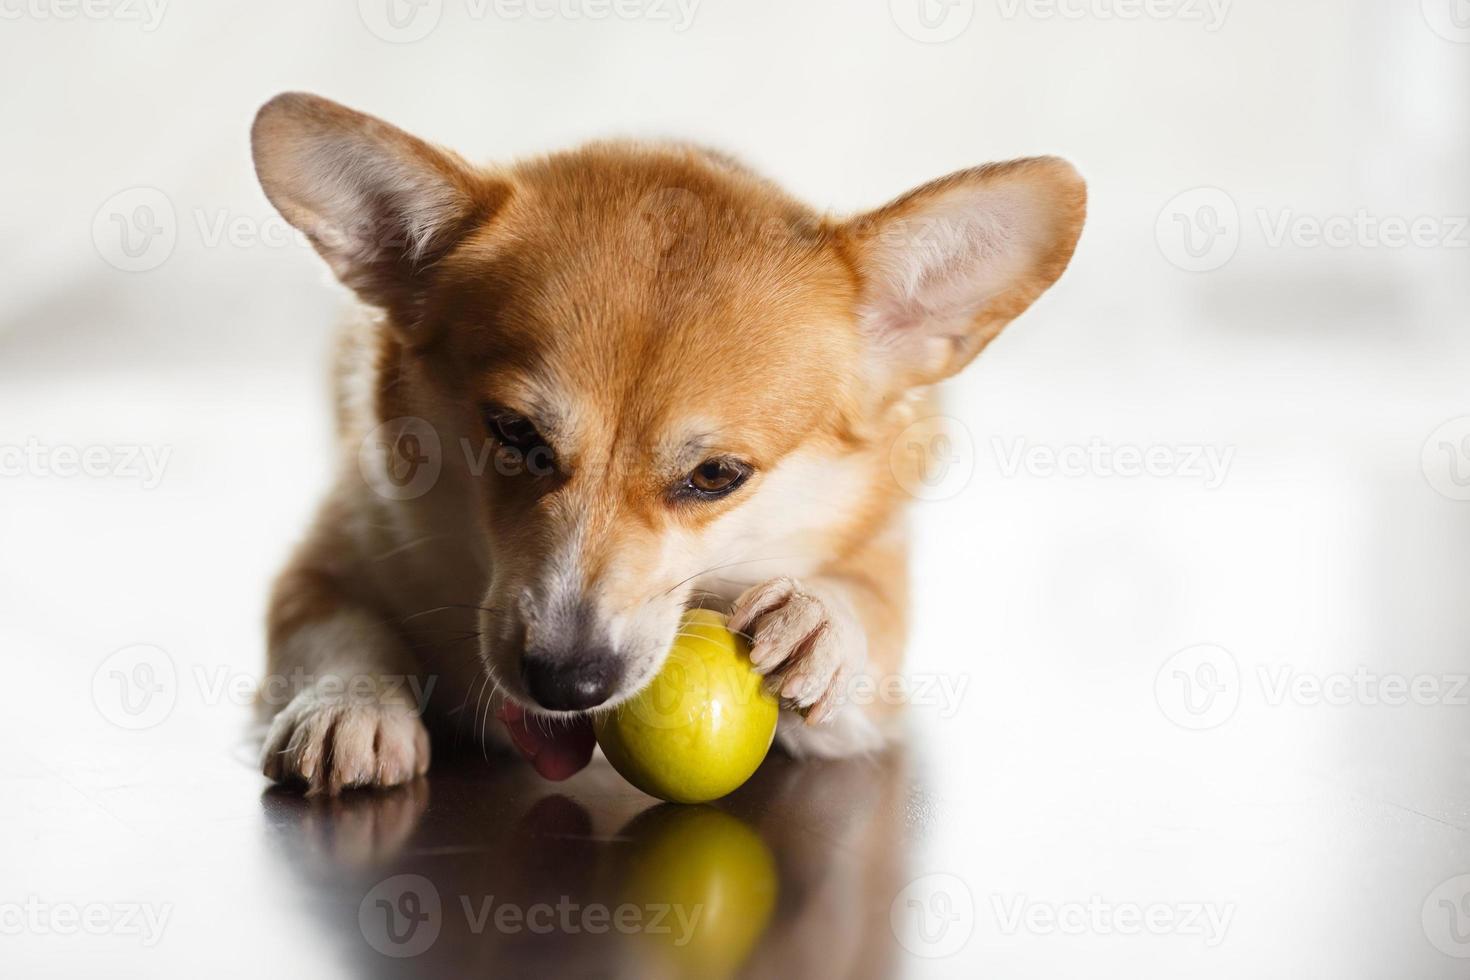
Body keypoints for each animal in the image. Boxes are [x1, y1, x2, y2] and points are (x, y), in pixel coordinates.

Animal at [249, 94, 1081, 799]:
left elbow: (864, 620)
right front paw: (347, 707)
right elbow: (334, 628)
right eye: (514, 433)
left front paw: (820, 623)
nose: (566, 682)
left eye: (716, 475)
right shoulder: (335, 553)